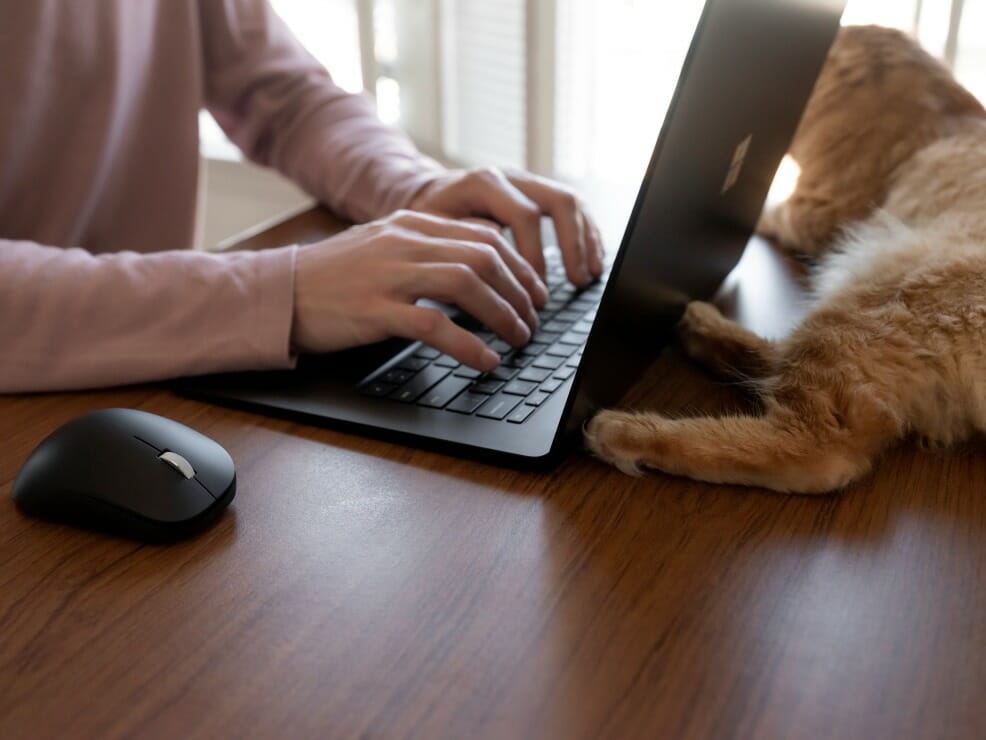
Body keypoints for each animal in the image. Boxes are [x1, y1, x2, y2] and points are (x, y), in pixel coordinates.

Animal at [580, 27, 984, 492]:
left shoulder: (813, 207)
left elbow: (772, 209)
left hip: (868, 301)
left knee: (813, 448)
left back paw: (627, 428)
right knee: (777, 367)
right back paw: (698, 326)